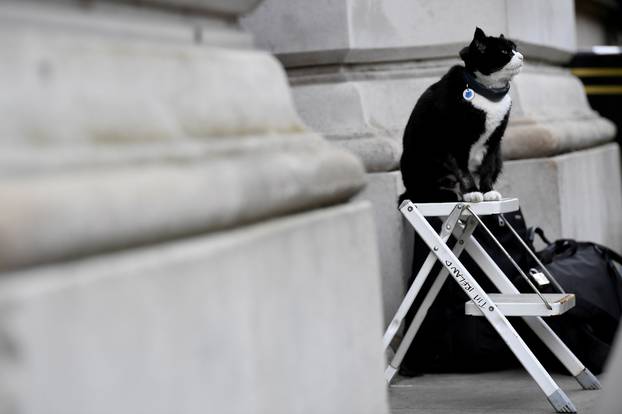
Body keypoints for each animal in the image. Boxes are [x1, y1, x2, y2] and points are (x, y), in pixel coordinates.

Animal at [400, 26, 520, 203]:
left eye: (515, 48)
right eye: (504, 51)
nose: (521, 56)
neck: (488, 94)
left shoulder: (494, 141)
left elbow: (487, 167)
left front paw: (487, 191)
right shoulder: (455, 140)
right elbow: (463, 171)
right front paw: (472, 191)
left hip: (499, 156)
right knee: (420, 193)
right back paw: (450, 194)